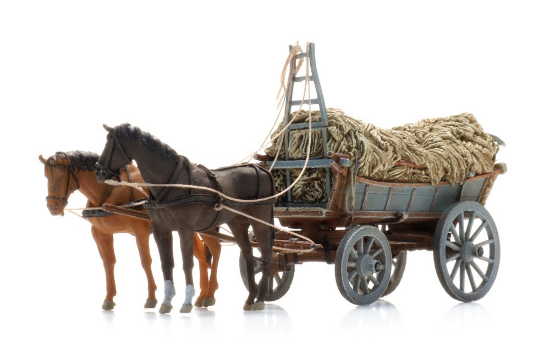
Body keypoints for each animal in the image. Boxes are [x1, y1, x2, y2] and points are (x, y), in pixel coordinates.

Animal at [41, 151, 222, 308]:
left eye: (61, 176)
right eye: (46, 176)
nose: (53, 207)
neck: (112, 190)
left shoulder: (140, 231)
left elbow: (146, 261)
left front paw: (151, 297)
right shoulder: (101, 234)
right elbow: (108, 263)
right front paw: (109, 298)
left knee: (216, 249)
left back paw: (210, 294)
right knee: (202, 255)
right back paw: (202, 295)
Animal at [97, 123, 278, 312]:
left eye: (111, 143)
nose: (99, 172)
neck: (172, 183)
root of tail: (263, 170)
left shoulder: (185, 229)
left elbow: (187, 263)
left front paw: (187, 301)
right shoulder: (161, 230)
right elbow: (167, 264)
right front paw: (167, 301)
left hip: (260, 219)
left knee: (266, 253)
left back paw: (260, 298)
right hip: (237, 222)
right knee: (248, 254)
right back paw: (250, 299)